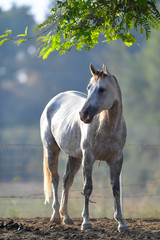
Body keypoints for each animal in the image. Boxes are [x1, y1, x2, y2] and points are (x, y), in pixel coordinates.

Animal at [40, 64, 128, 232]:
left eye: (101, 89)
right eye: (89, 87)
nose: (83, 114)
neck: (107, 127)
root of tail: (53, 101)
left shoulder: (116, 159)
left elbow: (116, 189)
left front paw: (121, 223)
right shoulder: (88, 158)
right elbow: (87, 187)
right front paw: (86, 222)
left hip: (74, 156)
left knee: (67, 181)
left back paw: (66, 217)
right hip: (51, 149)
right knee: (55, 179)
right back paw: (55, 216)